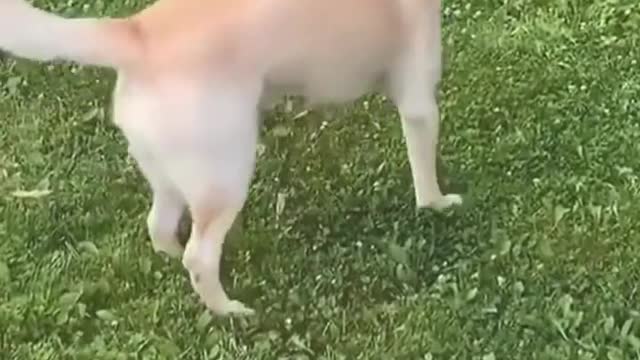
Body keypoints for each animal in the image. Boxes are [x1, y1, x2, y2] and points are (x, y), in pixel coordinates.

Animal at [0, 0, 460, 316]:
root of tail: (138, 32)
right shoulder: (419, 103)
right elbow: (425, 175)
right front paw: (437, 205)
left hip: (173, 174)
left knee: (160, 227)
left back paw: (173, 262)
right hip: (227, 175)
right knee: (200, 257)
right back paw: (230, 311)